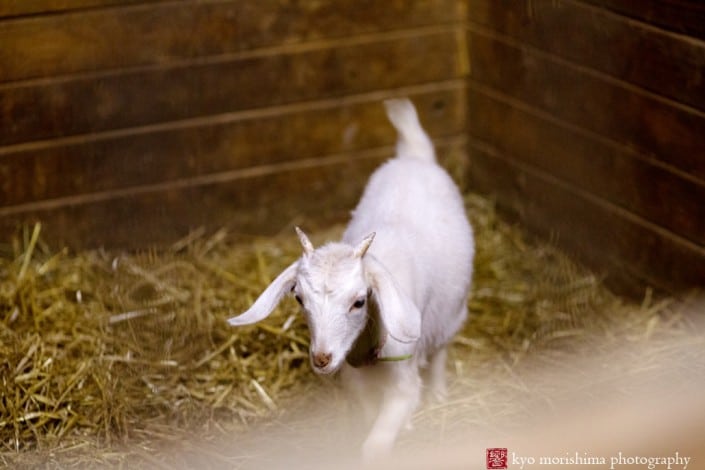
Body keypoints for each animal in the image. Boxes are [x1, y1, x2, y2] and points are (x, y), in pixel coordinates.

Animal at [228, 98, 474, 460]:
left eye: (359, 301)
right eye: (299, 298)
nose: (322, 358)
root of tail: (414, 156)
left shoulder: (403, 379)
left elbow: (377, 443)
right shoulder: (355, 381)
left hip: (452, 311)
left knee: (442, 348)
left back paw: (439, 393)